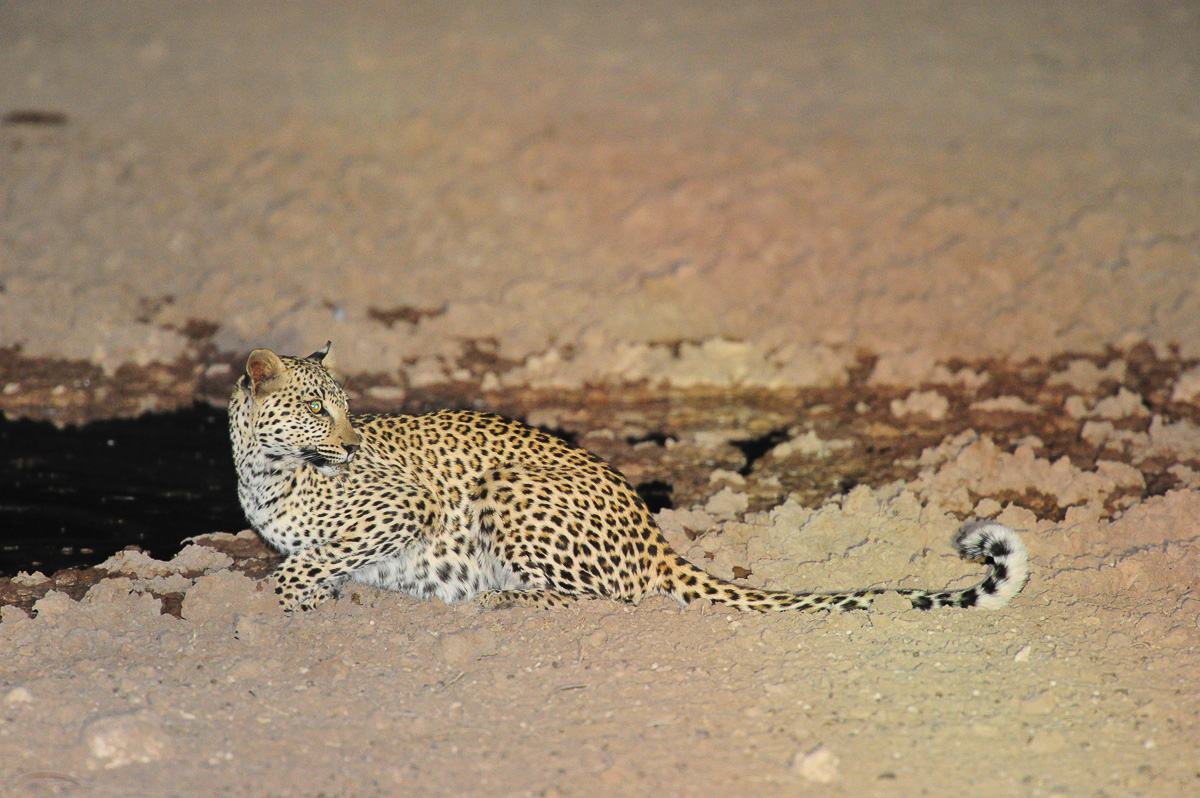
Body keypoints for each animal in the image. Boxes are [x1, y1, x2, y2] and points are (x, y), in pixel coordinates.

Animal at [229, 343, 1029, 613]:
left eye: (346, 408)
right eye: (316, 408)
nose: (350, 442)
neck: (265, 474)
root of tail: (651, 530)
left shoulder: (410, 504)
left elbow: (314, 556)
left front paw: (296, 598)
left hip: (506, 492)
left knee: (613, 596)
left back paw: (502, 600)